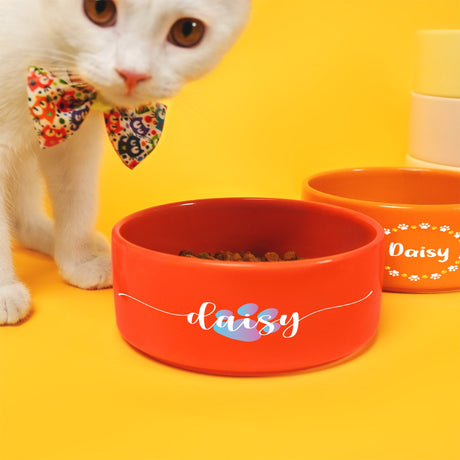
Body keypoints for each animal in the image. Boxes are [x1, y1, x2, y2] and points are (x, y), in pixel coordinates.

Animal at [0, 0, 248, 324]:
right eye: (99, 9)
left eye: (187, 31)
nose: (132, 73)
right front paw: (4, 291)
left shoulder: (74, 136)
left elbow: (78, 199)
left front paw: (80, 261)